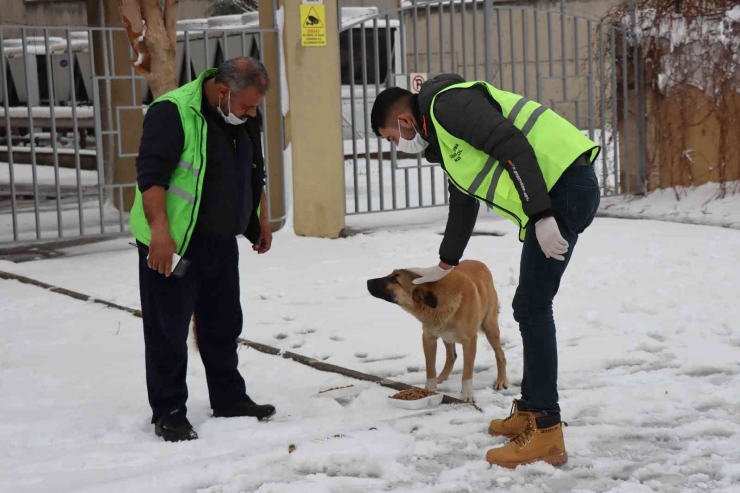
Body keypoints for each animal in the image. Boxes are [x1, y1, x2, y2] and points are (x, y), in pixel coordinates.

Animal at [366, 260, 506, 402]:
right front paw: (428, 390)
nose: (368, 281)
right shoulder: (428, 338)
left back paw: (501, 380)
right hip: (446, 335)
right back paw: (442, 377)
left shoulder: (470, 341)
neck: (438, 303)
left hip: (490, 327)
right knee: (452, 356)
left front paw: (467, 394)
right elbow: (430, 368)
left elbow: (467, 373)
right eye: (392, 273)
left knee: (500, 355)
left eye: (395, 280)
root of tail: (480, 263)